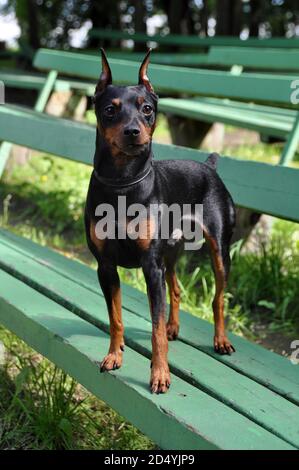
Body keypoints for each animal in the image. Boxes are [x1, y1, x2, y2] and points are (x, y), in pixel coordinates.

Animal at [85, 48, 237, 392]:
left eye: (147, 109)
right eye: (110, 110)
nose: (133, 131)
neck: (123, 183)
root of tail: (209, 167)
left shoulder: (150, 267)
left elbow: (154, 329)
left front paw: (160, 374)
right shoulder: (106, 267)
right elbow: (115, 318)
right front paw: (114, 355)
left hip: (218, 252)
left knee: (218, 298)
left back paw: (220, 340)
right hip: (170, 252)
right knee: (177, 288)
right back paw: (174, 326)